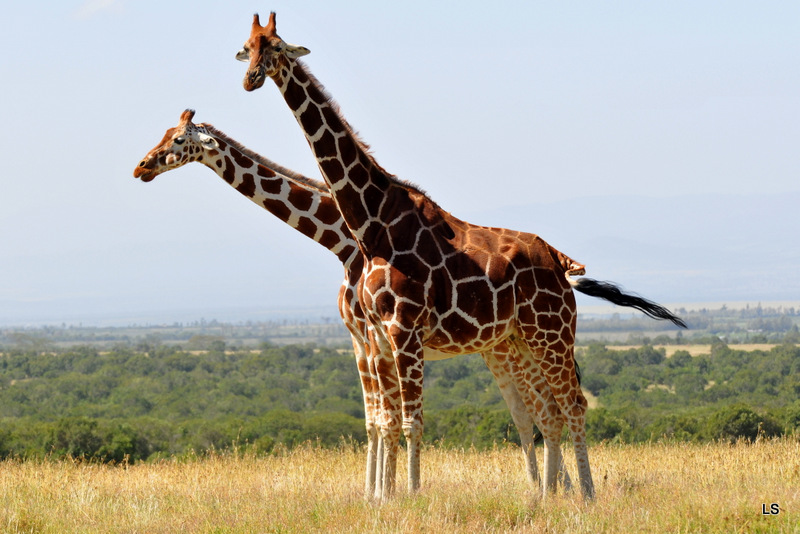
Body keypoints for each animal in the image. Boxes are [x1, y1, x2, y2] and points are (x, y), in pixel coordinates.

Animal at [234, 11, 684, 502]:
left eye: (277, 47)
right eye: (247, 47)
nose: (250, 79)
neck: (372, 223)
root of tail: (562, 267)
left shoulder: (404, 329)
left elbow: (410, 422)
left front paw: (406, 496)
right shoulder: (378, 334)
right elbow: (387, 421)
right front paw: (385, 495)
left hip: (552, 335)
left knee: (572, 405)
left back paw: (583, 494)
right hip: (522, 339)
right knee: (549, 412)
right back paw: (547, 495)